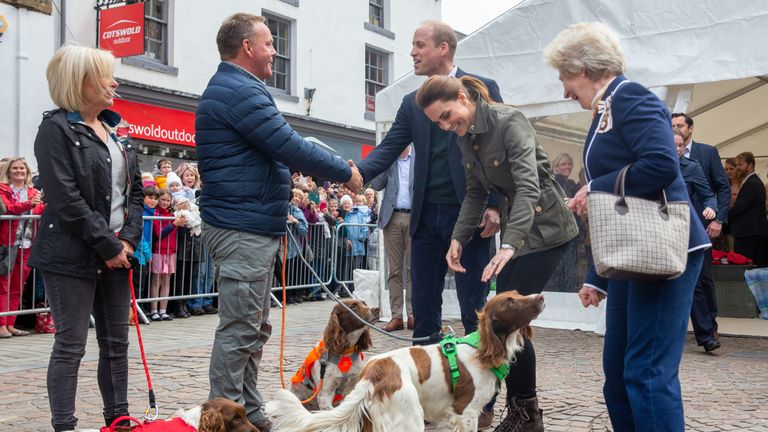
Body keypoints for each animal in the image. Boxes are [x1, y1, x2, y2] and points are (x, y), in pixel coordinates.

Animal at [268, 290, 544, 432]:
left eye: (518, 294)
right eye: (510, 301)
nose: (540, 296)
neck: (482, 349)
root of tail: (374, 373)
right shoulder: (466, 412)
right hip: (410, 417)